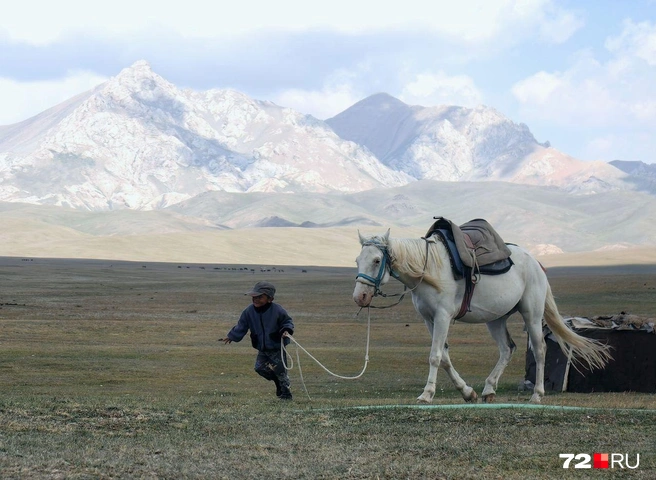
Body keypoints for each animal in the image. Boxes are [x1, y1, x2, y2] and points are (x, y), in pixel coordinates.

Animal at [352, 229, 611, 404]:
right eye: (357, 260)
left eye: (377, 260)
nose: (360, 296)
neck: (428, 269)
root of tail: (536, 262)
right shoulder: (429, 319)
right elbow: (445, 358)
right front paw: (468, 392)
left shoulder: (443, 316)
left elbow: (435, 356)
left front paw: (426, 394)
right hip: (496, 319)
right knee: (507, 349)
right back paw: (489, 389)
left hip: (532, 314)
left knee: (539, 350)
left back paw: (537, 394)